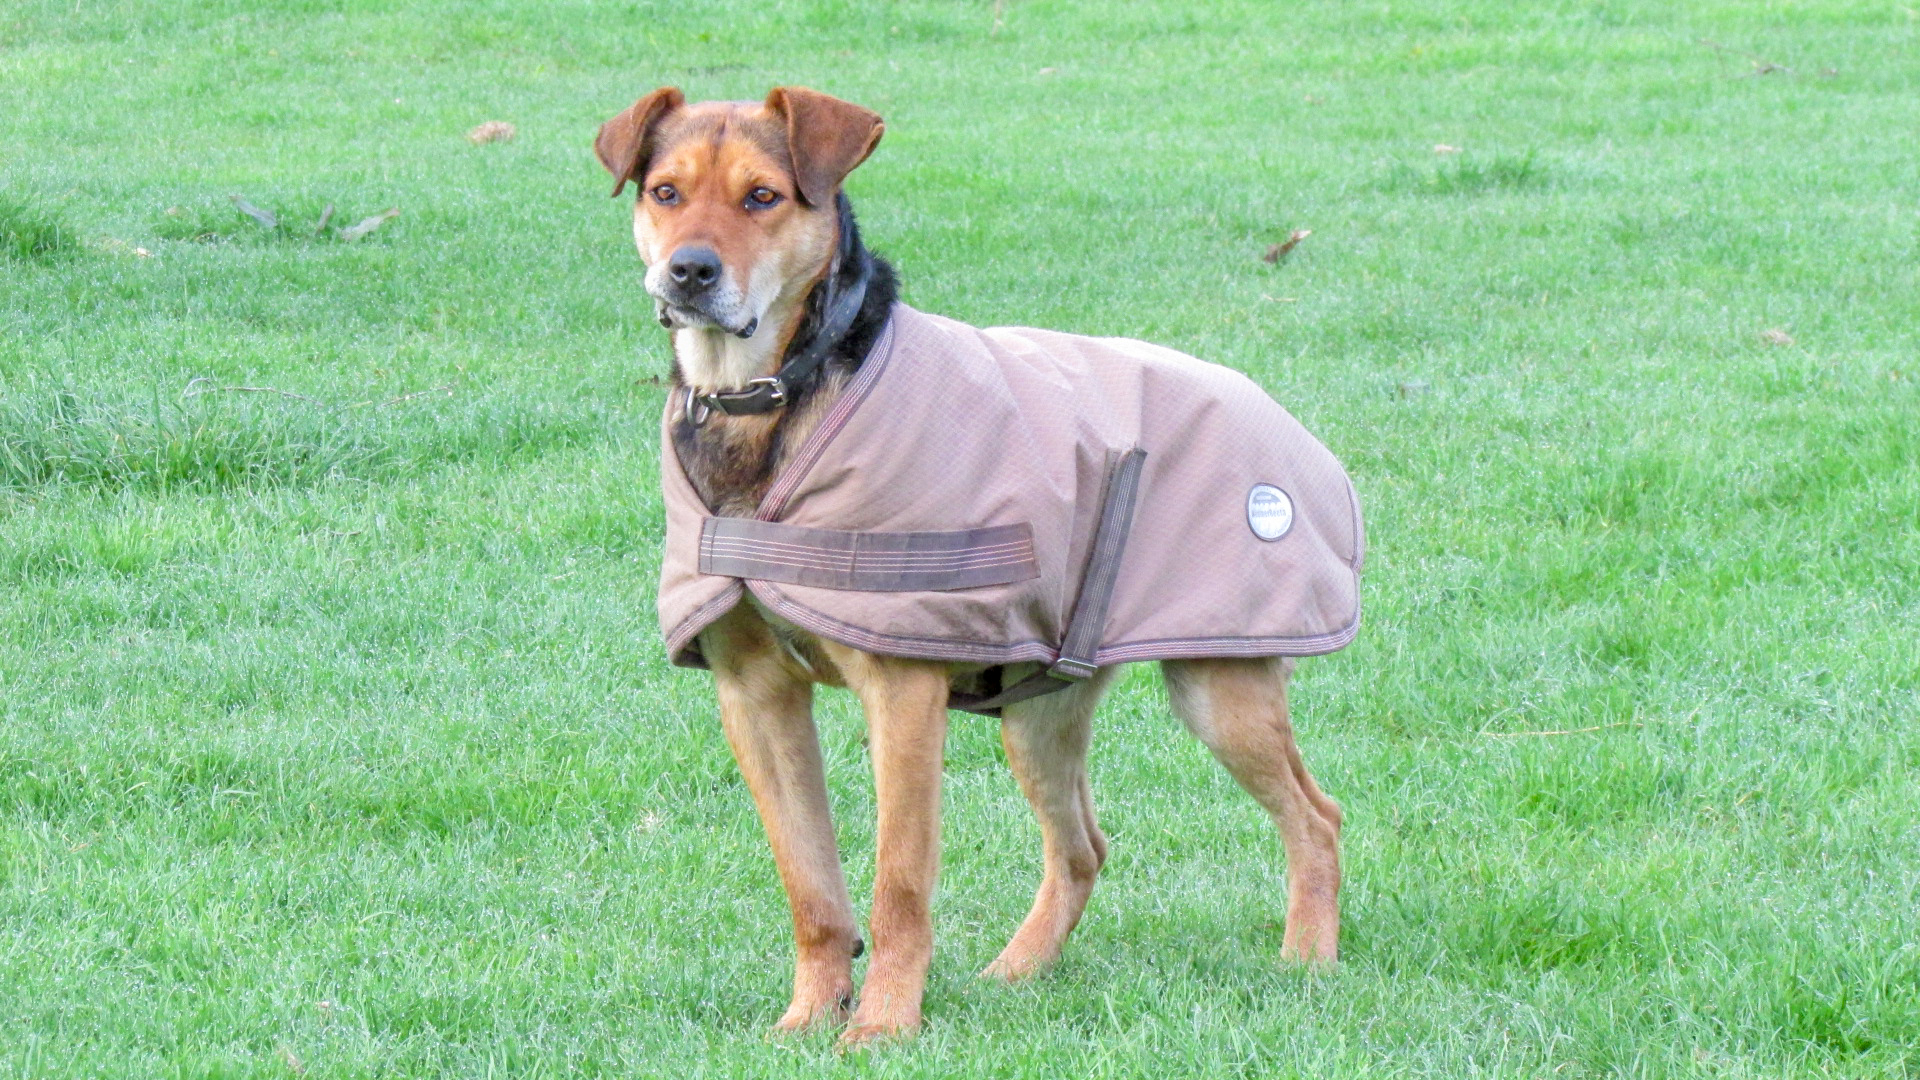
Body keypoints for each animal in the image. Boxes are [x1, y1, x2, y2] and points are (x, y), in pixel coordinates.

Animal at [591, 85, 1344, 1045]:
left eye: (762, 197)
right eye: (665, 192)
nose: (689, 272)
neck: (766, 399)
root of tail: (1276, 413)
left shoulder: (902, 694)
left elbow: (899, 883)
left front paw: (882, 1025)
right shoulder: (755, 699)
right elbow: (812, 888)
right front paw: (809, 1015)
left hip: (1221, 689)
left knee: (1315, 818)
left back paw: (1308, 959)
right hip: (1040, 714)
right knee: (1082, 849)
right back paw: (1016, 974)